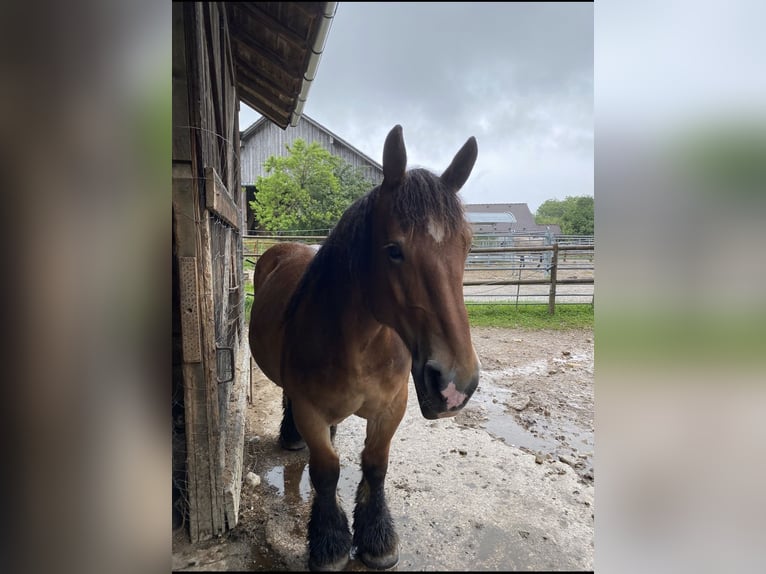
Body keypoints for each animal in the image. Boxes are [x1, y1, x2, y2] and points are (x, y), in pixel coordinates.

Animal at [248, 125, 480, 571]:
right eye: (393, 250)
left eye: (466, 246)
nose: (455, 384)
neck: (359, 344)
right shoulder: (310, 409)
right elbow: (325, 471)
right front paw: (330, 543)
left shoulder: (392, 408)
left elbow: (375, 465)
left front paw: (377, 537)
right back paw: (291, 437)